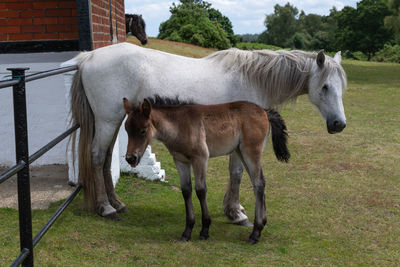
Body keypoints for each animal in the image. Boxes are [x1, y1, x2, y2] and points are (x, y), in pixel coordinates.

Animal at [70, 42, 346, 222]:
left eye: (341, 87)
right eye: (324, 87)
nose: (339, 124)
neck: (253, 78)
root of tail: (88, 57)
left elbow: (236, 174)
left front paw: (233, 209)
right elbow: (237, 173)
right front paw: (235, 213)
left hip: (117, 121)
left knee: (107, 158)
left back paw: (117, 203)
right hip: (107, 120)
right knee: (97, 157)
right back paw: (105, 208)